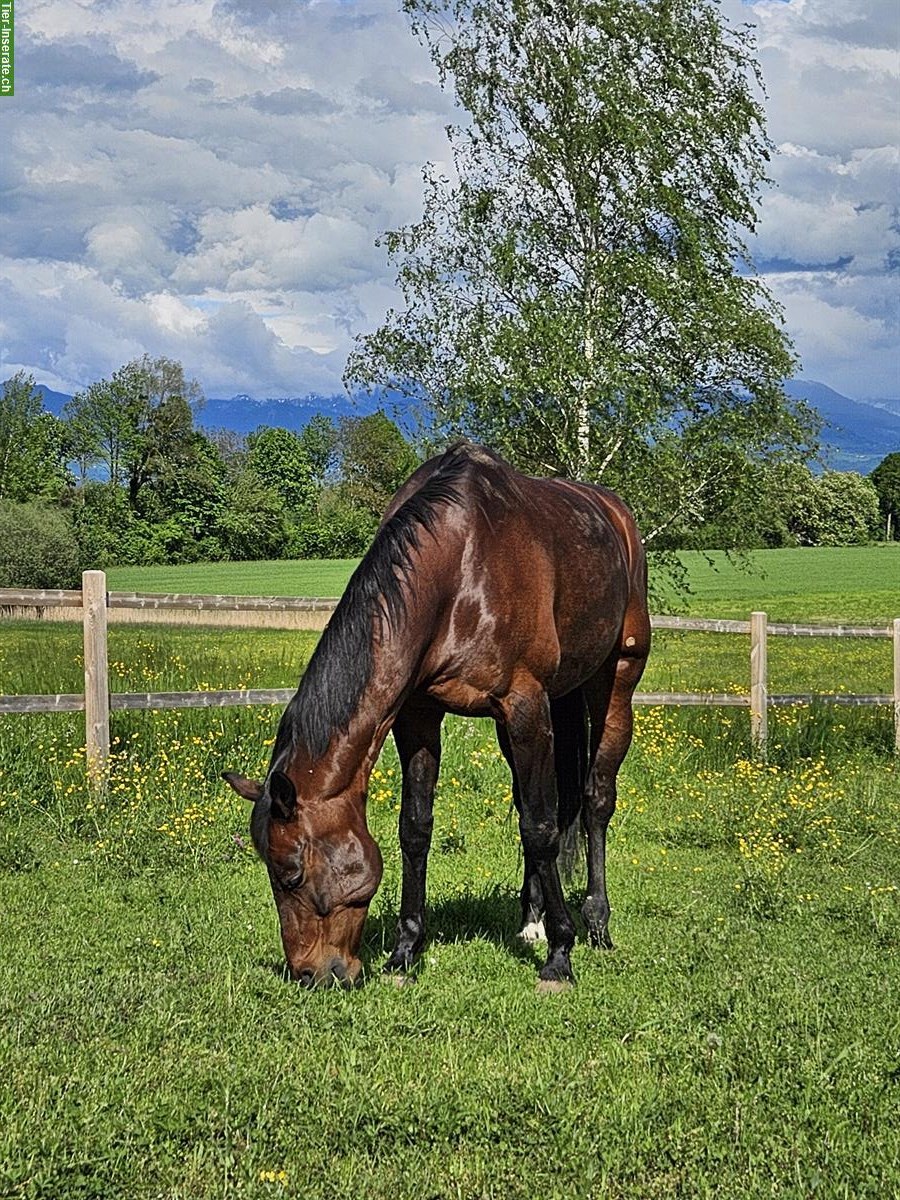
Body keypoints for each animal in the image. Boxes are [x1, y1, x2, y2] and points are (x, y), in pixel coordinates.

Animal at [224, 439, 648, 984]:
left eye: (291, 874)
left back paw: (595, 921)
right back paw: (530, 921)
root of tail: (616, 515)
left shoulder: (525, 705)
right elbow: (416, 827)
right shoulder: (418, 716)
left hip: (615, 681)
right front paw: (405, 949)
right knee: (532, 801)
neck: (460, 567)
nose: (310, 974)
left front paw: (560, 954)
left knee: (595, 800)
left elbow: (541, 828)